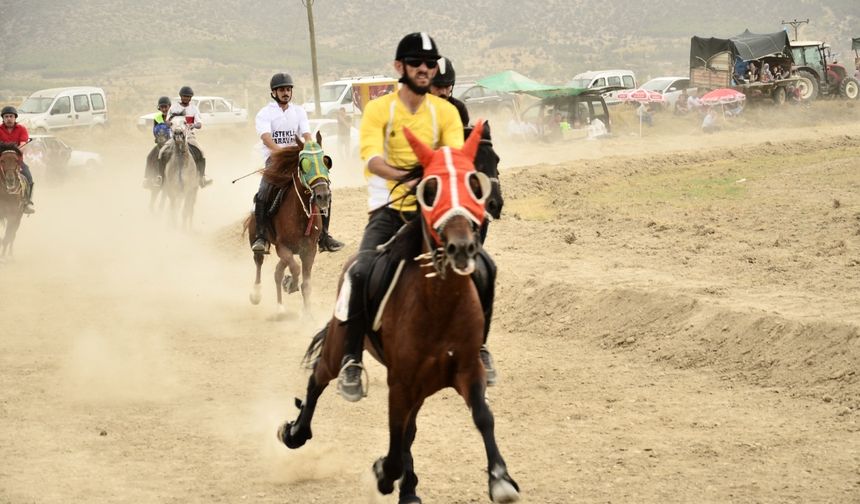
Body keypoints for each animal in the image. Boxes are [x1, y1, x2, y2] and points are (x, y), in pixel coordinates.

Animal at [247, 133, 334, 316]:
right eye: (304, 164)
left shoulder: (309, 250)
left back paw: (280, 307)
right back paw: (257, 293)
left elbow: (305, 282)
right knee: (259, 260)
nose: (323, 196)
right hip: (255, 237)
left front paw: (307, 314)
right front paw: (291, 284)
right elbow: (295, 269)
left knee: (278, 271)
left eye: (325, 161)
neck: (300, 213)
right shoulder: (282, 247)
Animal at [278, 123, 516, 504]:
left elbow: (482, 417)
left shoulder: (465, 370)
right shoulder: (402, 382)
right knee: (318, 379)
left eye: (492, 161)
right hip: (339, 345)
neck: (439, 304)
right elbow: (395, 440)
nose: (493, 205)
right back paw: (297, 431)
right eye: (432, 189)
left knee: (409, 429)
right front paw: (385, 473)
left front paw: (500, 478)